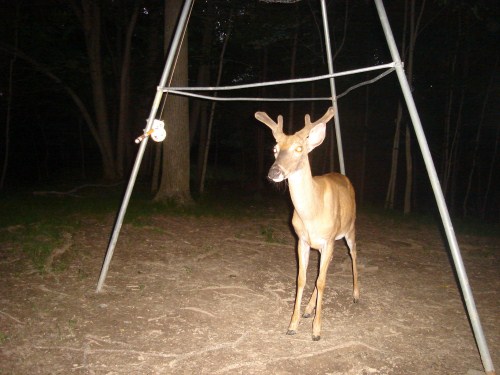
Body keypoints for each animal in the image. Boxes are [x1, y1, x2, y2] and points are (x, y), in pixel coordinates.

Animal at [256, 107, 358, 342]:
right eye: (275, 148)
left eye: (299, 148)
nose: (274, 173)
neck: (312, 214)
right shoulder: (302, 240)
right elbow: (302, 279)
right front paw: (292, 325)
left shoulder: (328, 240)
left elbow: (321, 281)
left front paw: (317, 331)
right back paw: (308, 309)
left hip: (349, 228)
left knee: (354, 253)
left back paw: (357, 295)